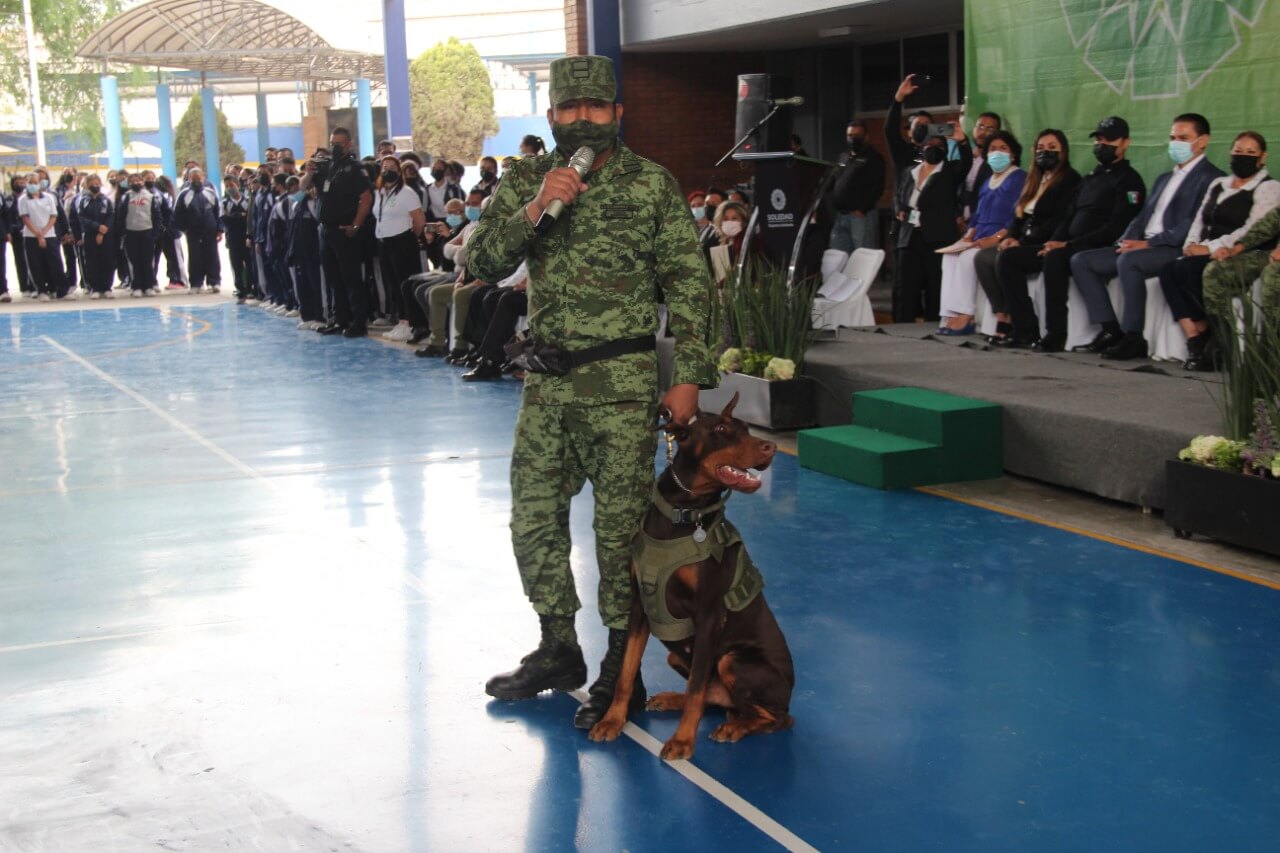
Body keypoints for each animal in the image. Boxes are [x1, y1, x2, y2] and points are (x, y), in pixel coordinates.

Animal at [586, 391, 788, 758]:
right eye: (722, 428)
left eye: (746, 428)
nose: (771, 448)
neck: (683, 514)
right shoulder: (640, 608)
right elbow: (626, 673)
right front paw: (612, 720)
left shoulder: (708, 616)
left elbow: (696, 689)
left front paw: (682, 741)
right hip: (676, 656)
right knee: (716, 697)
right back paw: (672, 700)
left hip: (733, 660)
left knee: (775, 717)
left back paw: (735, 727)